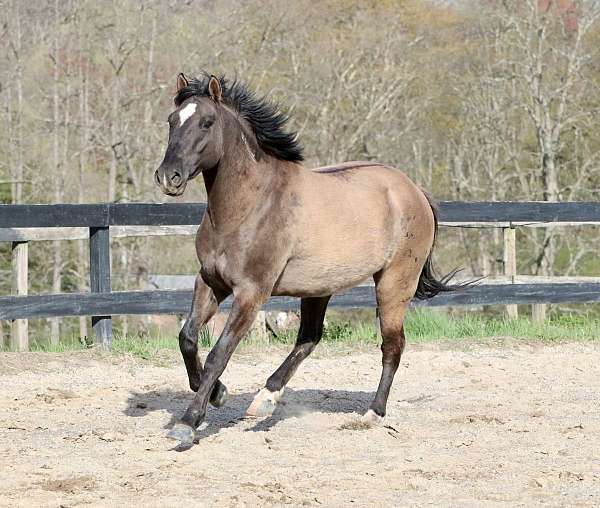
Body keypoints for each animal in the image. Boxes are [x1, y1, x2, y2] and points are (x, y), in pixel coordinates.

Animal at [155, 73, 454, 446]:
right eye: (171, 121)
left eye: (207, 122)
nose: (169, 176)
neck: (249, 205)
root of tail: (414, 191)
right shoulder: (210, 282)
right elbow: (187, 339)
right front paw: (218, 394)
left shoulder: (251, 293)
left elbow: (218, 354)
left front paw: (189, 422)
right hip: (319, 288)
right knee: (309, 338)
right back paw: (266, 399)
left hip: (394, 283)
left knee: (392, 345)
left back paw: (372, 413)